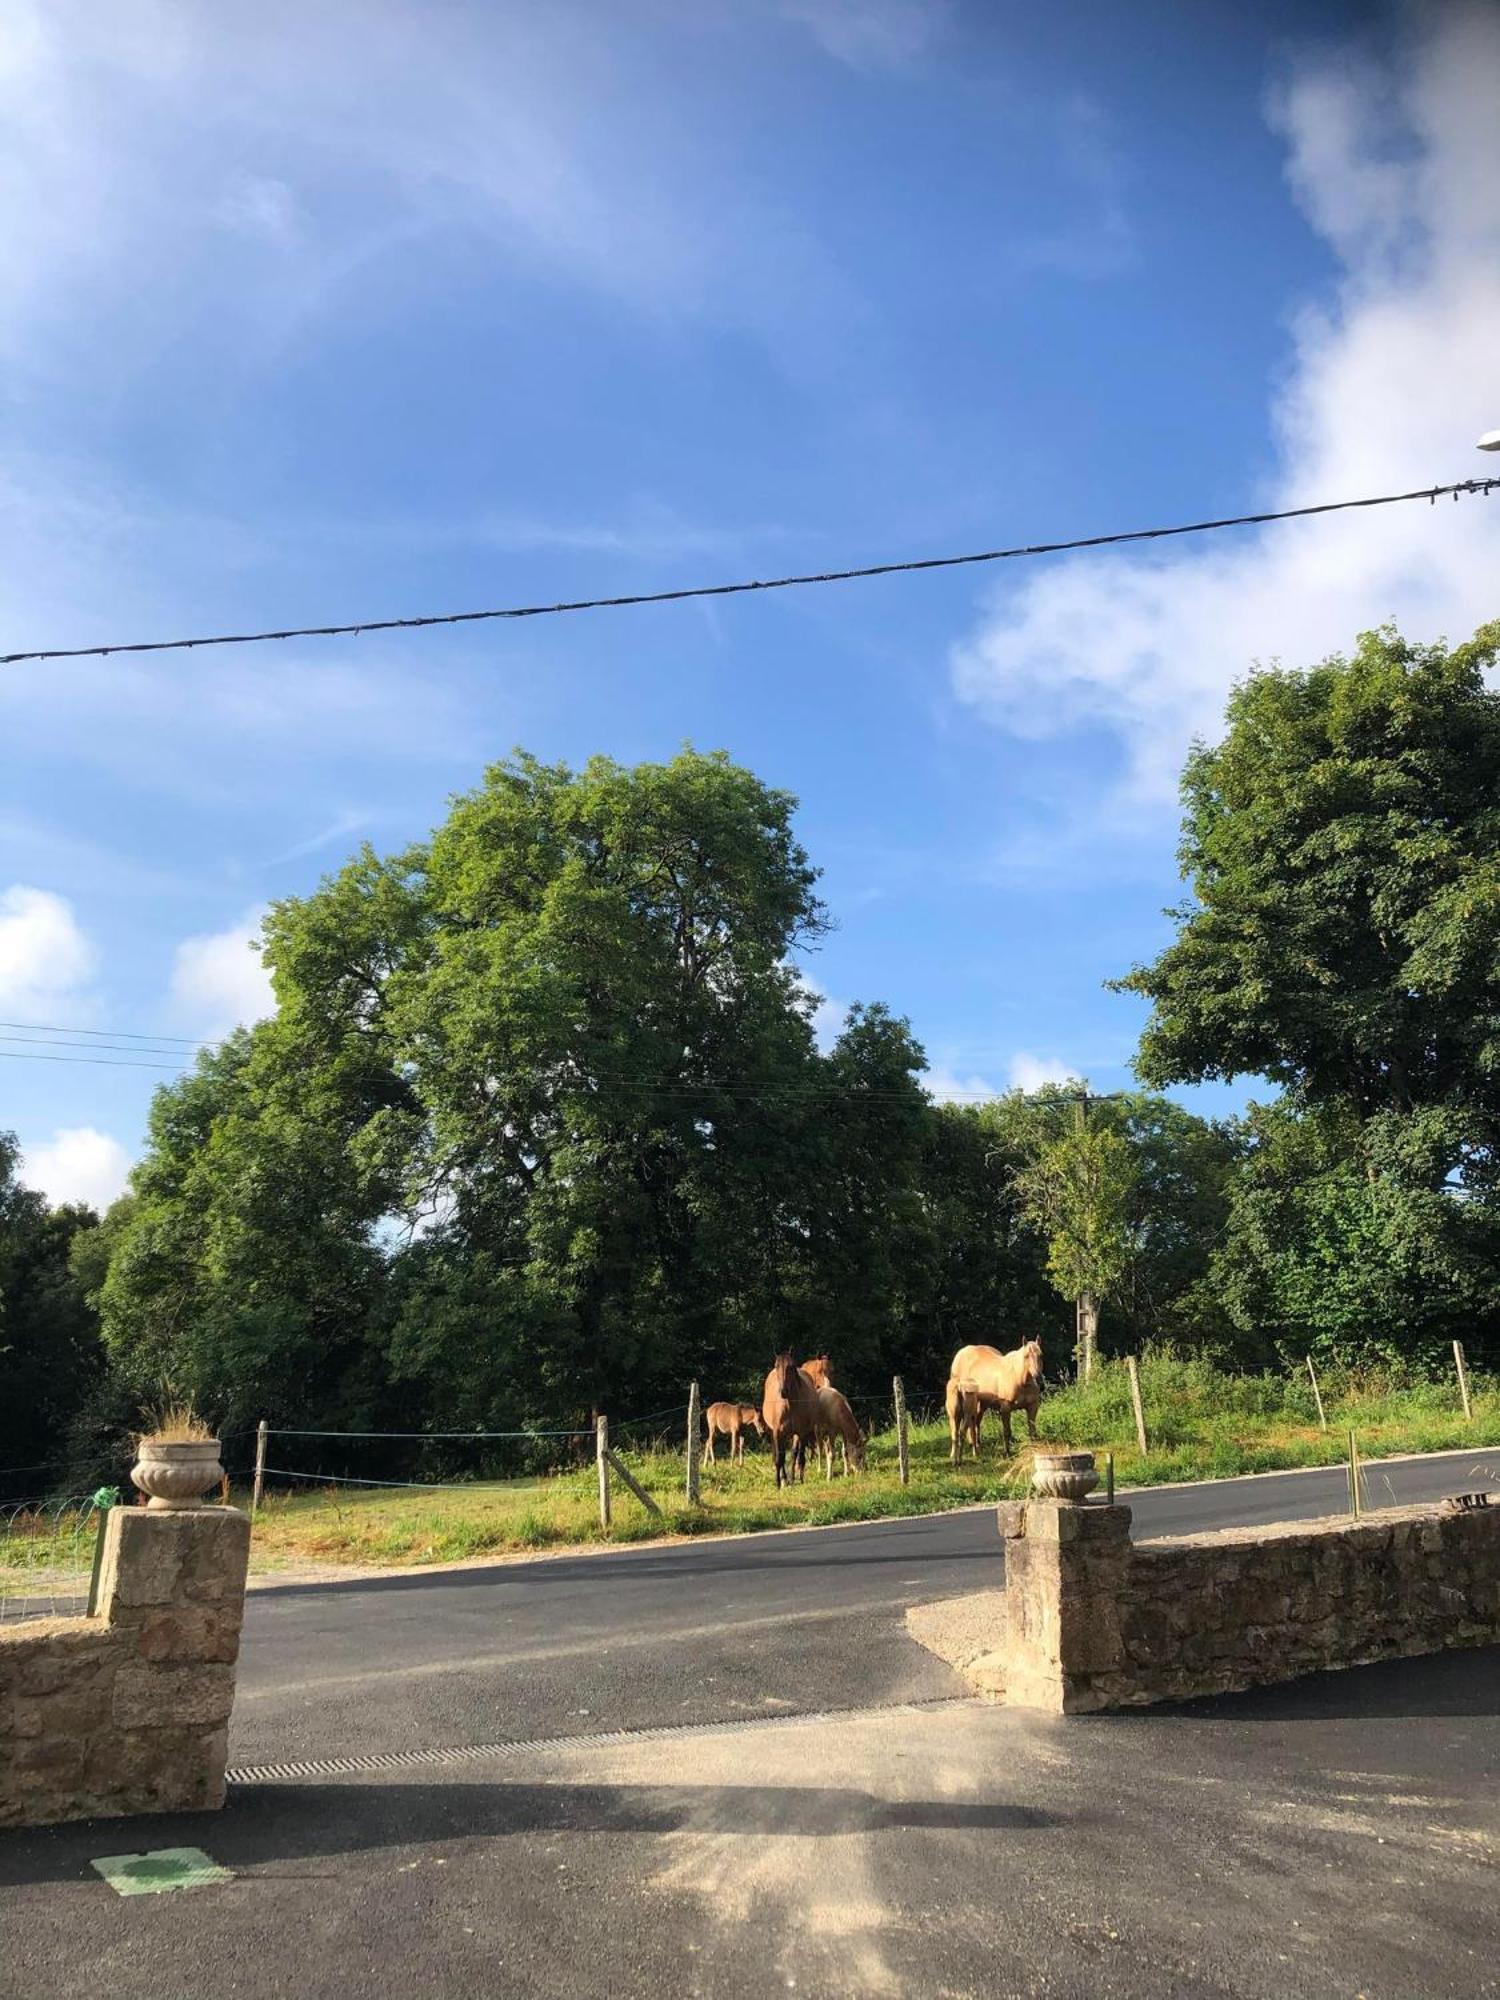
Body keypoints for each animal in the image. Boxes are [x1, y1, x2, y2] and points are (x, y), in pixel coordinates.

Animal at [764, 1352, 824, 1496]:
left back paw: (790, 1479)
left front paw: (798, 1479)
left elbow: (799, 1456)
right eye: (776, 1365)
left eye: (791, 1366)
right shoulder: (777, 1433)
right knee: (779, 1455)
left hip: (794, 1434)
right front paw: (778, 1483)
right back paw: (784, 1479)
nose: (783, 1391)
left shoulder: (802, 1432)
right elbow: (779, 1458)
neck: (789, 1405)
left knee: (794, 1454)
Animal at [952, 1336, 1048, 1464]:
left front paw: (1033, 1449)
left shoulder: (1032, 1407)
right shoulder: (1005, 1408)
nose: (1039, 1382)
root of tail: (961, 1352)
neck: (1020, 1380)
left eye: (1041, 1355)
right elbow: (1007, 1432)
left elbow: (1032, 1431)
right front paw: (1007, 1453)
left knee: (975, 1423)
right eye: (1026, 1356)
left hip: (981, 1404)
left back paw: (977, 1446)